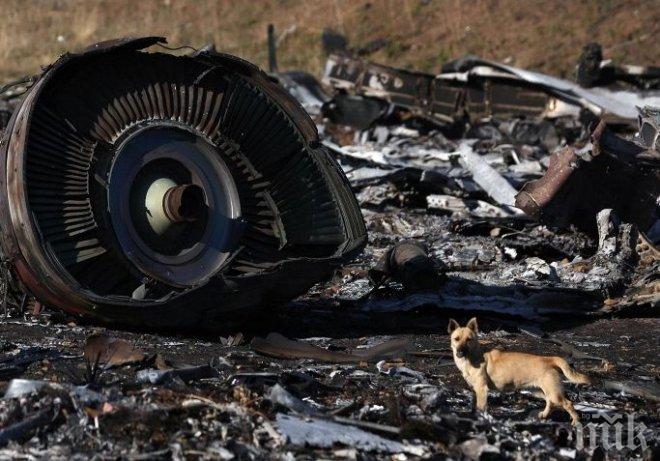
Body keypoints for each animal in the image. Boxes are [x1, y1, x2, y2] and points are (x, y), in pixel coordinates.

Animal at [446, 318, 592, 422]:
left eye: (469, 340)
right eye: (456, 339)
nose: (460, 352)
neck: (473, 357)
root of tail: (548, 359)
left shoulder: (482, 390)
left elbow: (480, 409)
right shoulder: (474, 390)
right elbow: (473, 407)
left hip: (554, 393)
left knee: (568, 403)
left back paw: (575, 422)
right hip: (538, 391)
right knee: (549, 401)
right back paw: (544, 415)